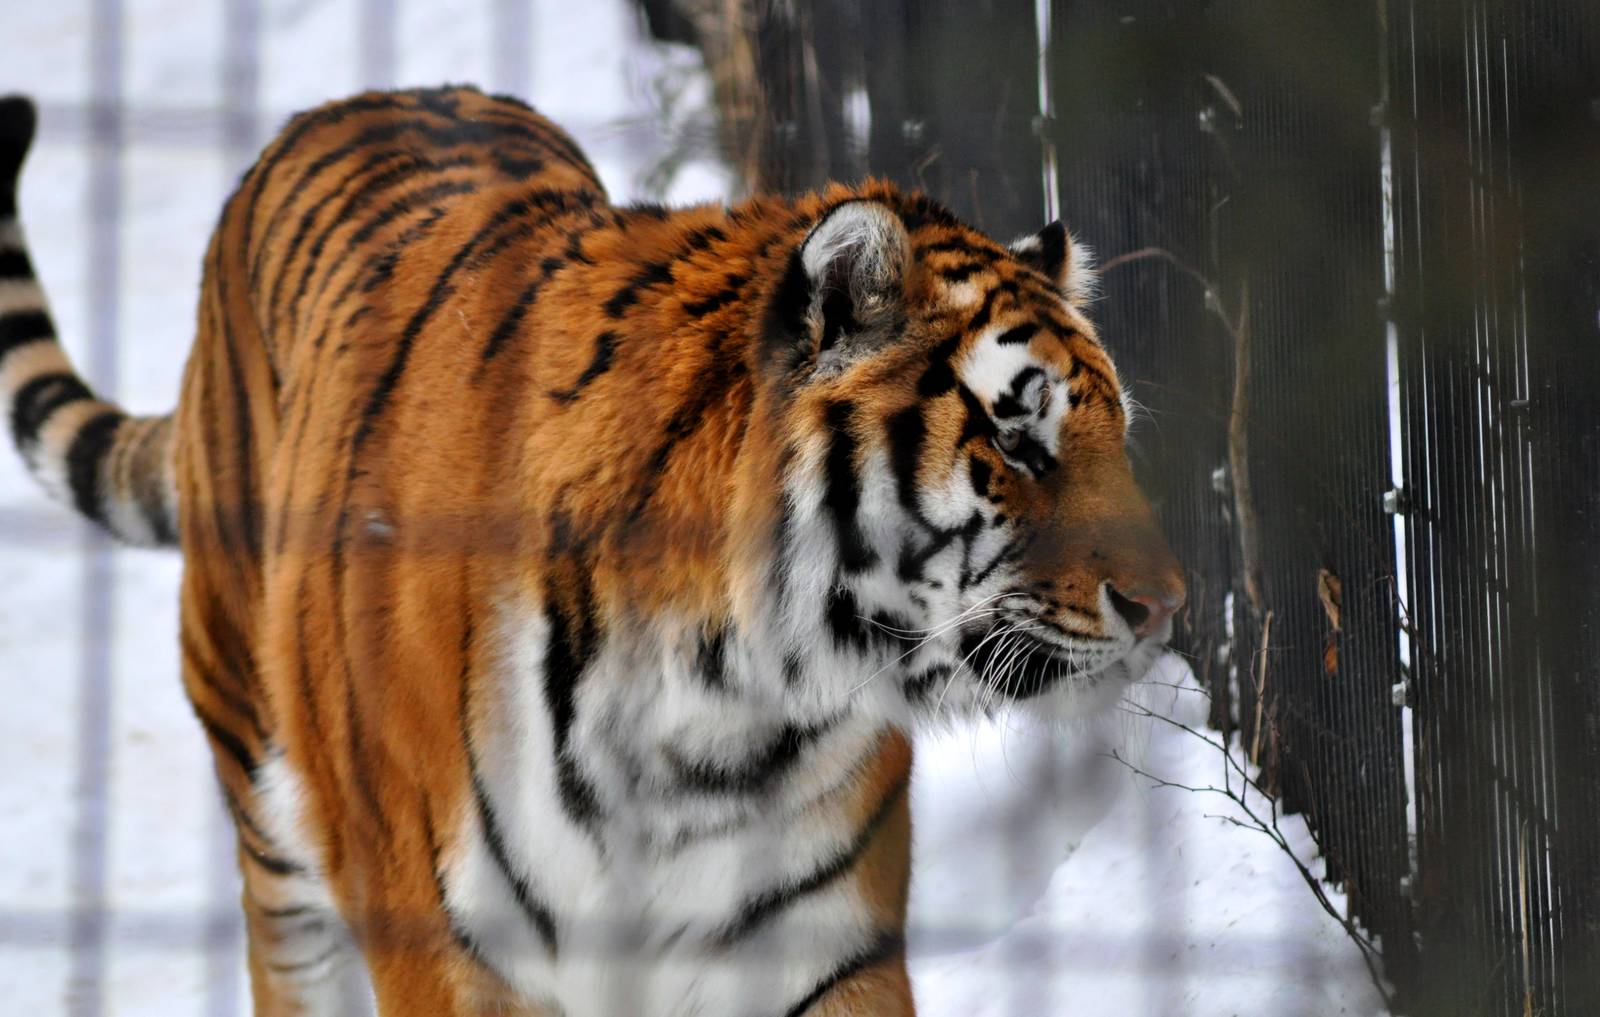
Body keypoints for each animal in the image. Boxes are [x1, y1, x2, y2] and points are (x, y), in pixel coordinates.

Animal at [0, 85, 1184, 1016]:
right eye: (1015, 440)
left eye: (1117, 433)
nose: (1168, 604)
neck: (719, 711)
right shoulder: (452, 953)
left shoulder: (817, 944)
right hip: (263, 781)